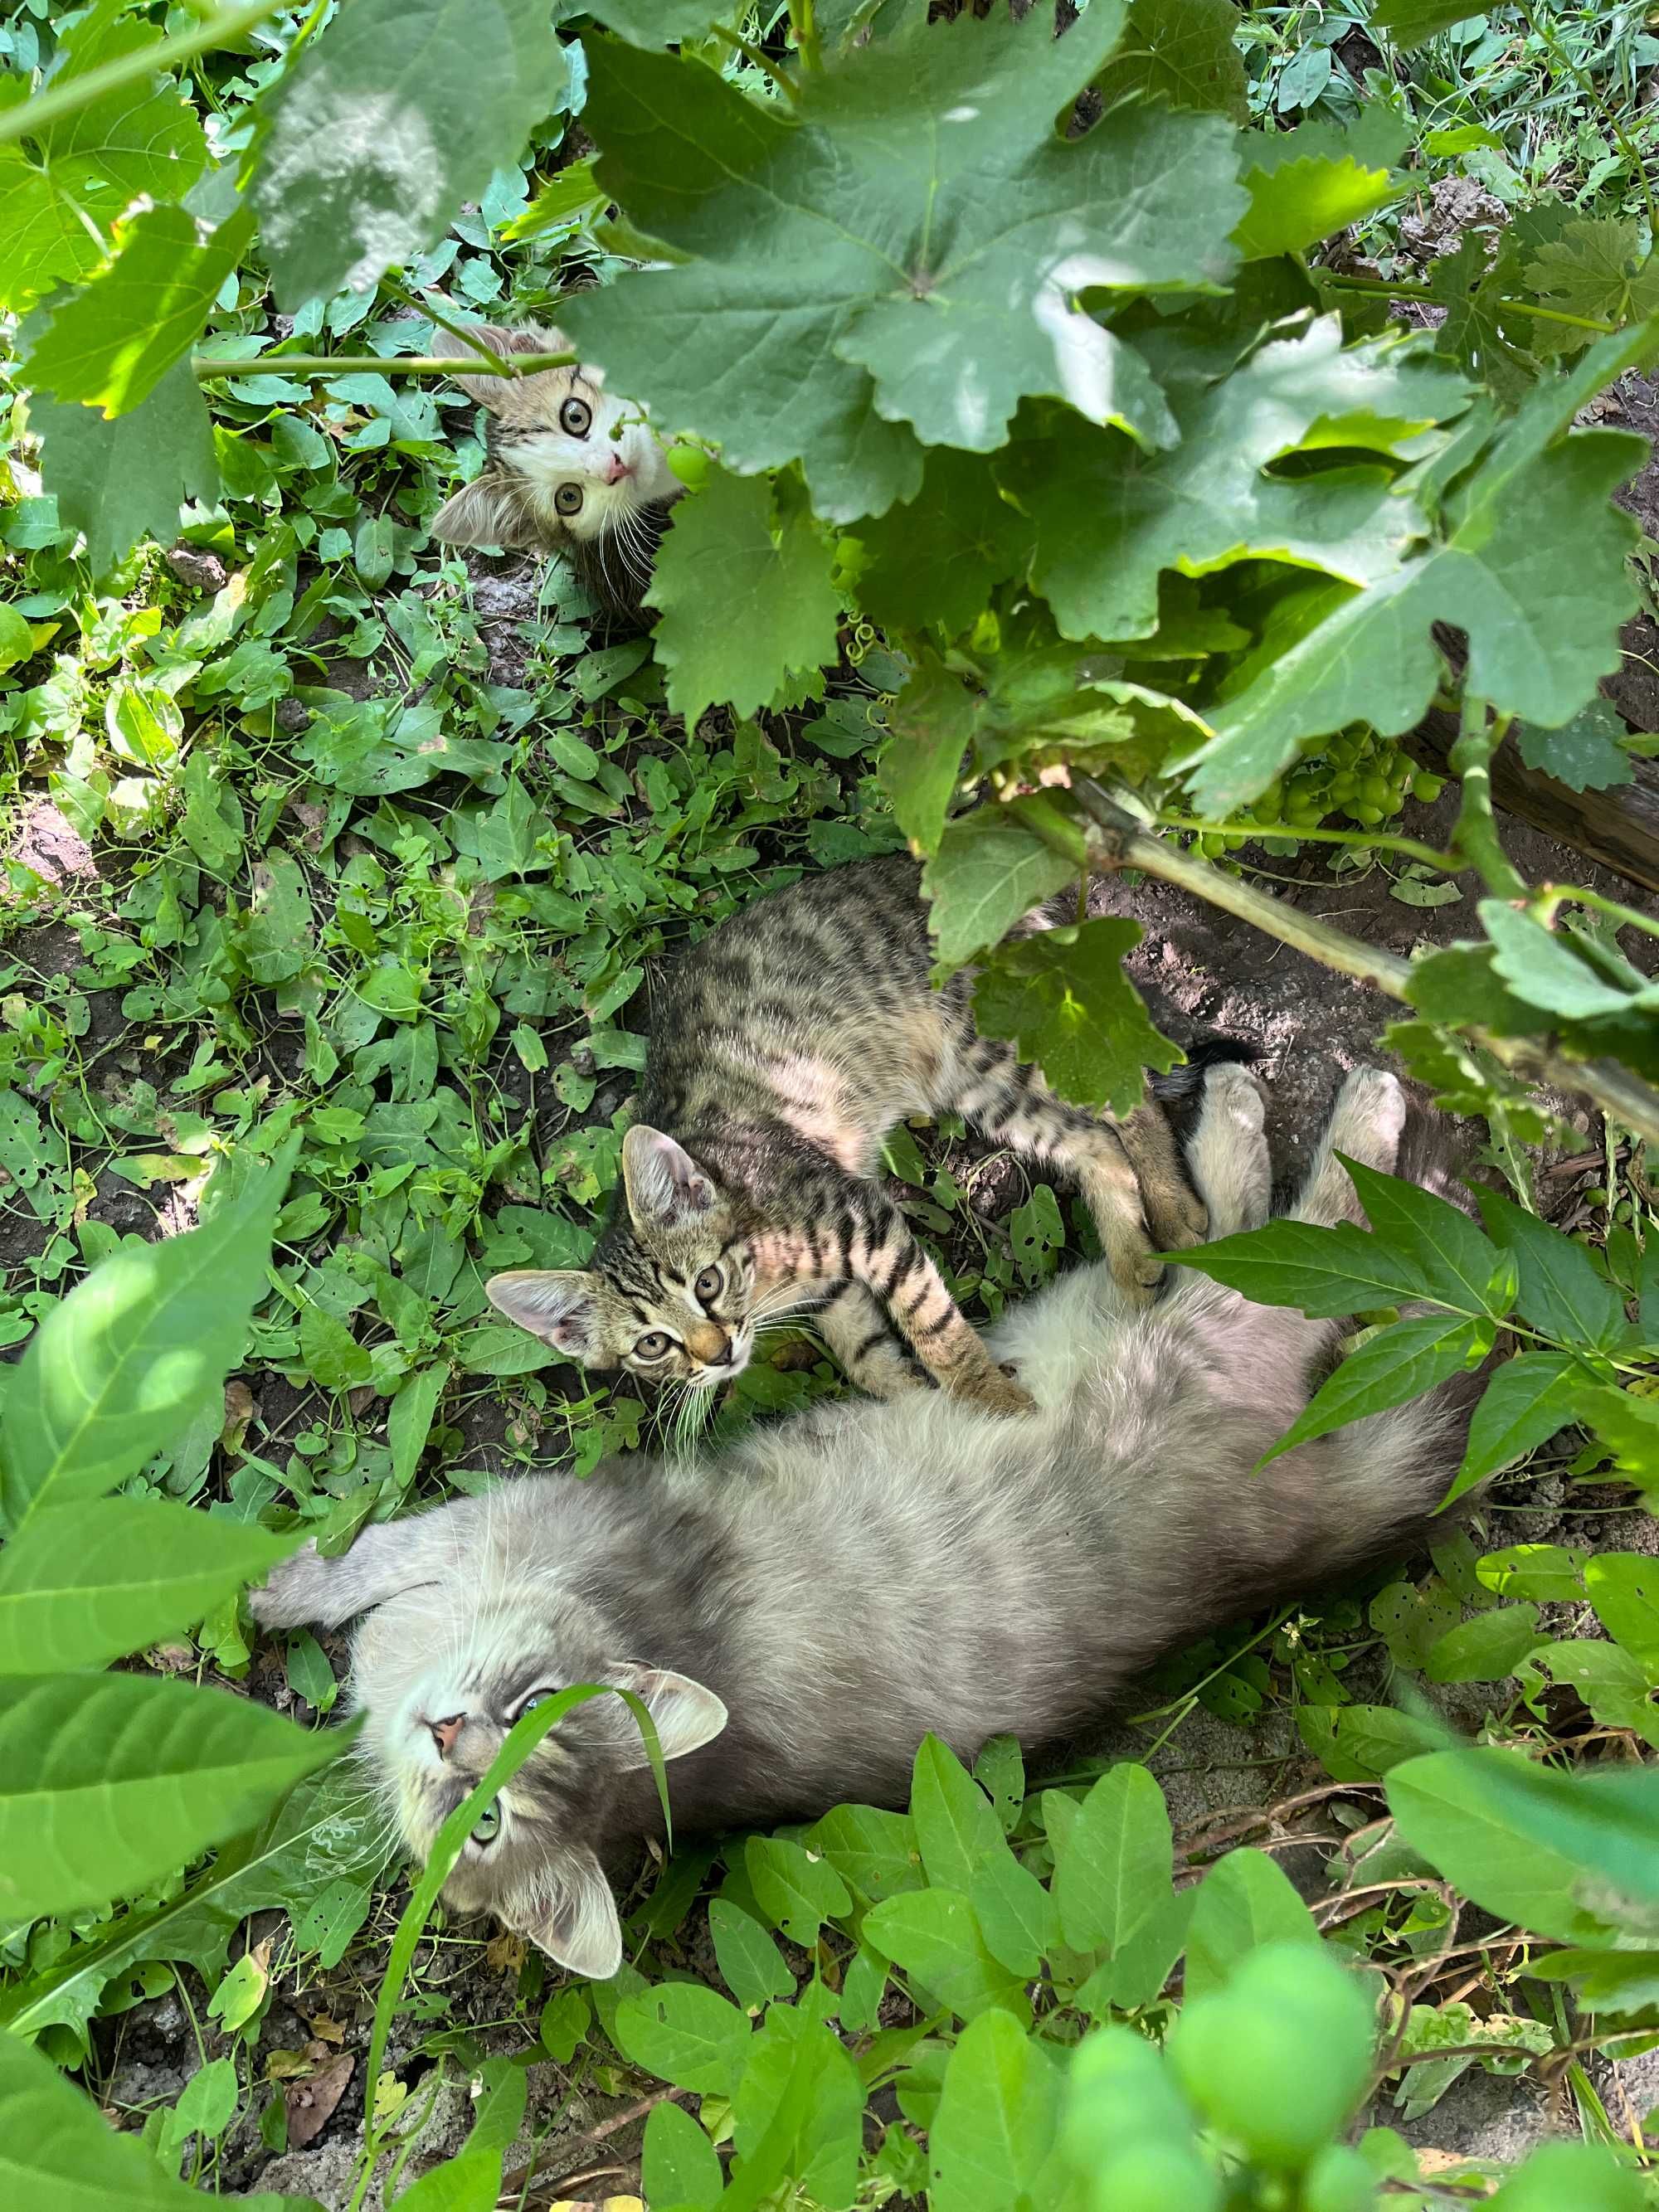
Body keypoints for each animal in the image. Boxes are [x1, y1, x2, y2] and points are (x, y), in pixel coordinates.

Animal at [253, 1062, 1486, 1981]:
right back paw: (1233, 1115)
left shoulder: (537, 1514)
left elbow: (387, 1545)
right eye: (487, 1826)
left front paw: (287, 1581)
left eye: (530, 1716)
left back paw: (1356, 1108)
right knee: (1232, 1236)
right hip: (1103, 1310)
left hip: (1191, 1337)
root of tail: (1299, 1525)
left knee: (1321, 1250)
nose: (449, 1737)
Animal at [479, 844, 1212, 1415]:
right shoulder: (833, 1285)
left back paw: (1175, 1211)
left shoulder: (863, 1216)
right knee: (1093, 1143)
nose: (717, 1354)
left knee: (1126, 1097)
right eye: (651, 1344)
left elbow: (931, 1322)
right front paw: (917, 1407)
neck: (766, 1274)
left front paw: (990, 1399)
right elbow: (863, 1355)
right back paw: (1134, 1260)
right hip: (977, 1084)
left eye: (705, 1284)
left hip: (997, 1035)